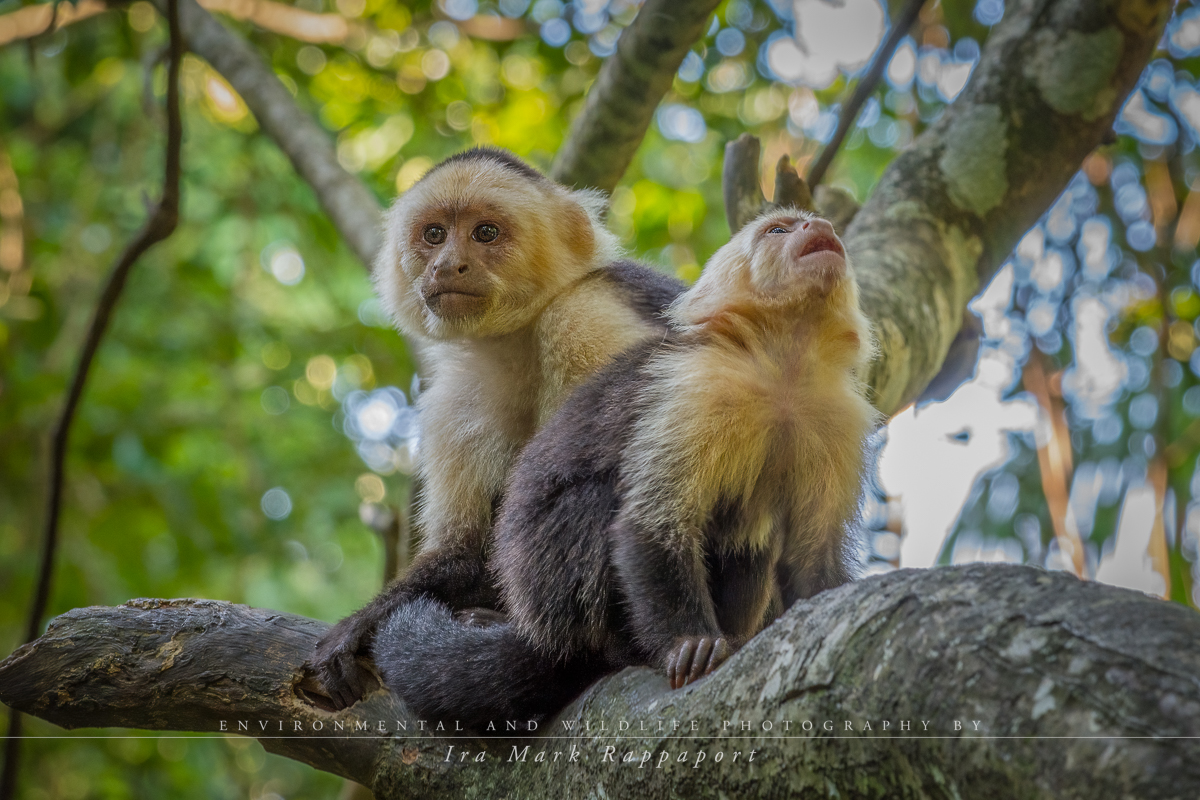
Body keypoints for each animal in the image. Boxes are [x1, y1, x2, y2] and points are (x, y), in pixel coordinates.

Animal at [309, 148, 686, 705]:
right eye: (435, 235)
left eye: (485, 233)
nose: (447, 264)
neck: (520, 335)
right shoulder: (453, 398)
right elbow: (467, 549)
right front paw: (368, 621)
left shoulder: (588, 314)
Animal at [379, 209, 878, 729]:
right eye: (779, 230)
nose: (820, 227)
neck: (783, 369)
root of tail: (542, 634)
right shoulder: (697, 383)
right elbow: (650, 525)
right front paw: (689, 644)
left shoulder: (839, 415)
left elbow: (812, 558)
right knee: (598, 502)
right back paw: (610, 652)